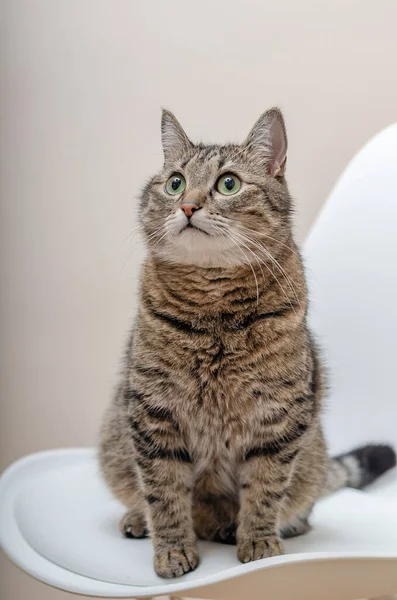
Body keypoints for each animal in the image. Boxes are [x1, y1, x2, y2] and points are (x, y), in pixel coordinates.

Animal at [98, 108, 392, 576]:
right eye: (175, 182)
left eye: (228, 184)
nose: (187, 205)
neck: (213, 307)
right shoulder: (153, 414)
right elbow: (164, 493)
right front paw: (172, 550)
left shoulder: (279, 419)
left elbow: (265, 489)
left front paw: (258, 542)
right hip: (114, 438)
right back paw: (141, 519)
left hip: (312, 453)